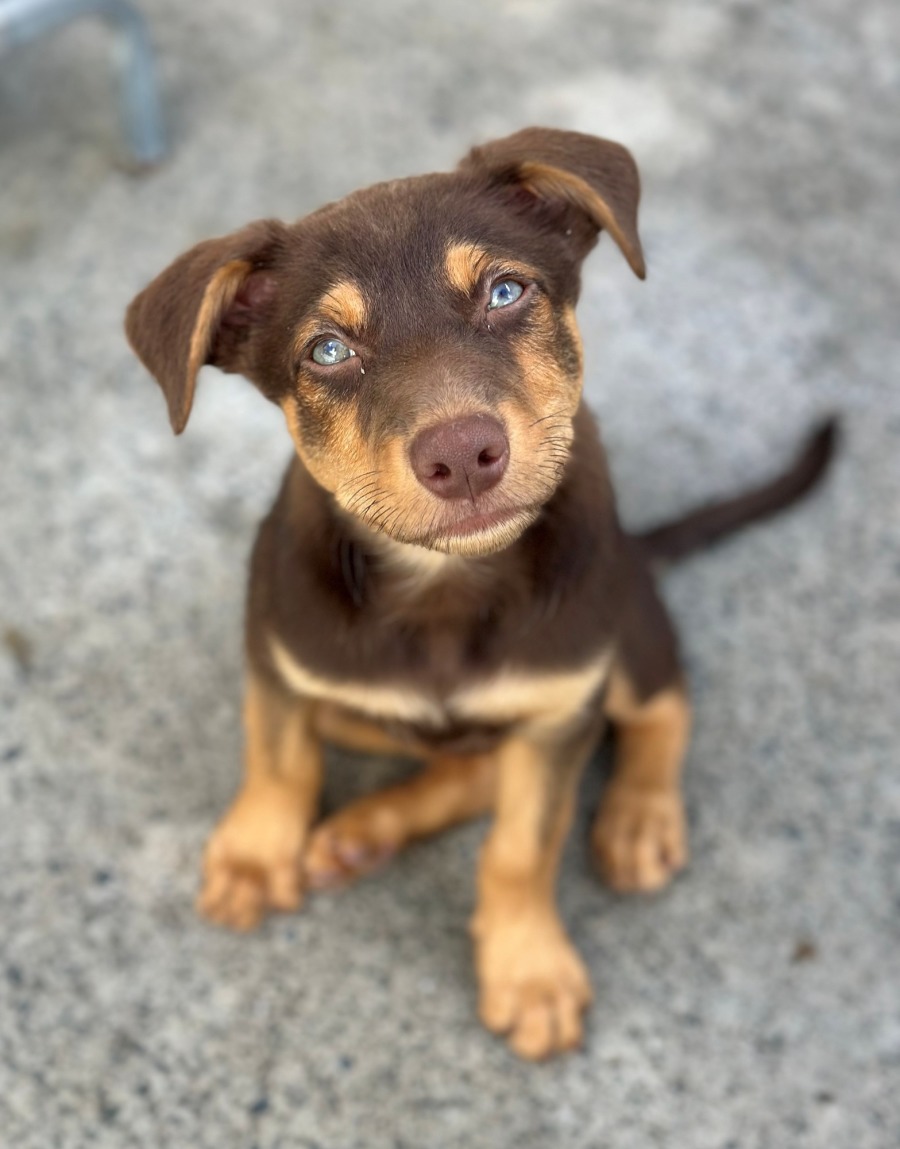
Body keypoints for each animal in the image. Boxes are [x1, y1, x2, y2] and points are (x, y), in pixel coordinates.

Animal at [125, 128, 835, 1060]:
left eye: (506, 291)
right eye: (327, 350)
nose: (462, 454)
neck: (445, 588)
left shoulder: (562, 705)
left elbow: (521, 847)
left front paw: (529, 970)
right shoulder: (279, 658)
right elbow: (278, 757)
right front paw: (253, 855)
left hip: (623, 628)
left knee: (660, 700)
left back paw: (637, 815)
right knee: (464, 763)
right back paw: (362, 830)